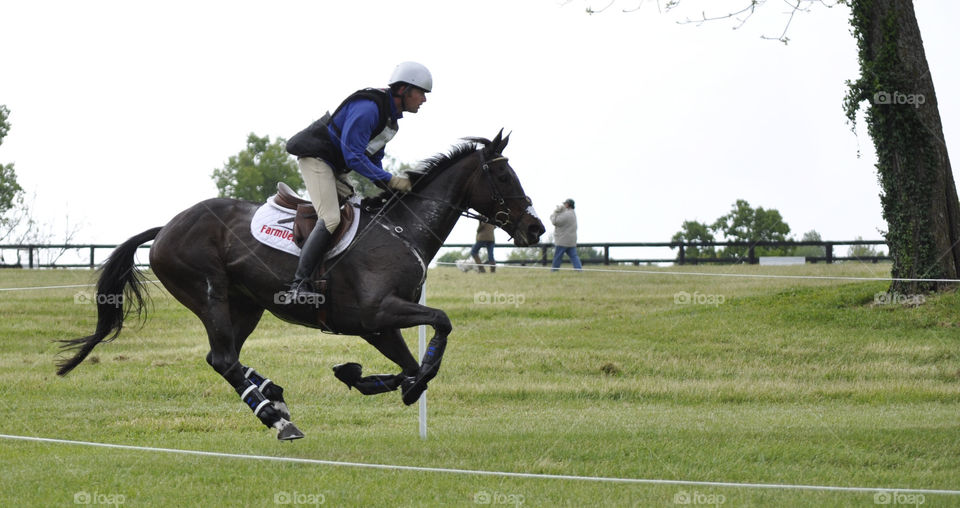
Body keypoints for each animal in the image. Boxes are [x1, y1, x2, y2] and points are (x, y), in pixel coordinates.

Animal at [56, 131, 545, 440]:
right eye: (504, 176)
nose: (535, 228)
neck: (401, 230)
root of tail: (166, 228)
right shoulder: (377, 313)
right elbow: (439, 326)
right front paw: (372, 379)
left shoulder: (378, 327)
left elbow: (412, 368)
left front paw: (367, 378)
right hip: (209, 293)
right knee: (223, 358)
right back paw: (276, 418)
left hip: (246, 305)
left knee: (224, 357)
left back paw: (272, 396)